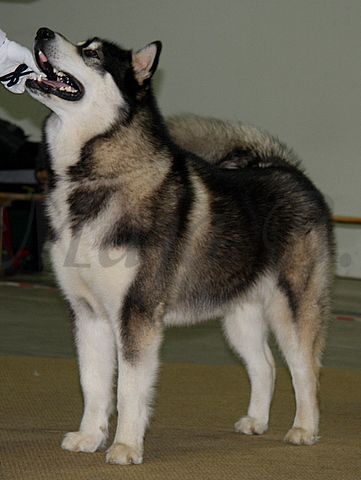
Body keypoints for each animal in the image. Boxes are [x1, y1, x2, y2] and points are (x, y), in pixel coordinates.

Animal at [26, 28, 334, 464]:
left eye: (92, 54)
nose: (42, 32)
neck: (99, 178)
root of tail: (287, 171)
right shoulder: (88, 315)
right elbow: (94, 386)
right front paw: (89, 437)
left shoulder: (136, 314)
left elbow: (130, 389)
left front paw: (125, 446)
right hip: (237, 315)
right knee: (265, 367)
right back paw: (256, 422)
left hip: (292, 310)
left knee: (305, 370)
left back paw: (304, 429)